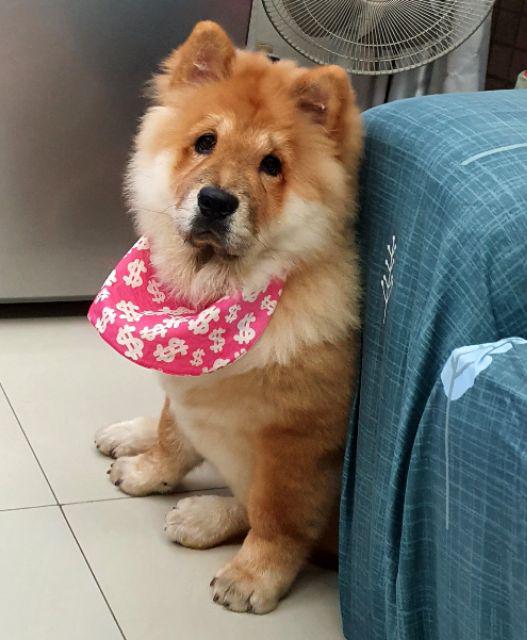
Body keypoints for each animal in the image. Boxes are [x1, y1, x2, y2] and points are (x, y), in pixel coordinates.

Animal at [94, 20, 362, 614]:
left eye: (272, 166)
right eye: (205, 142)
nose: (215, 201)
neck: (213, 291)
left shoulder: (298, 440)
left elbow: (278, 517)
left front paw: (253, 577)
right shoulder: (188, 386)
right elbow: (171, 437)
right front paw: (147, 471)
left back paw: (201, 515)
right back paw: (129, 437)